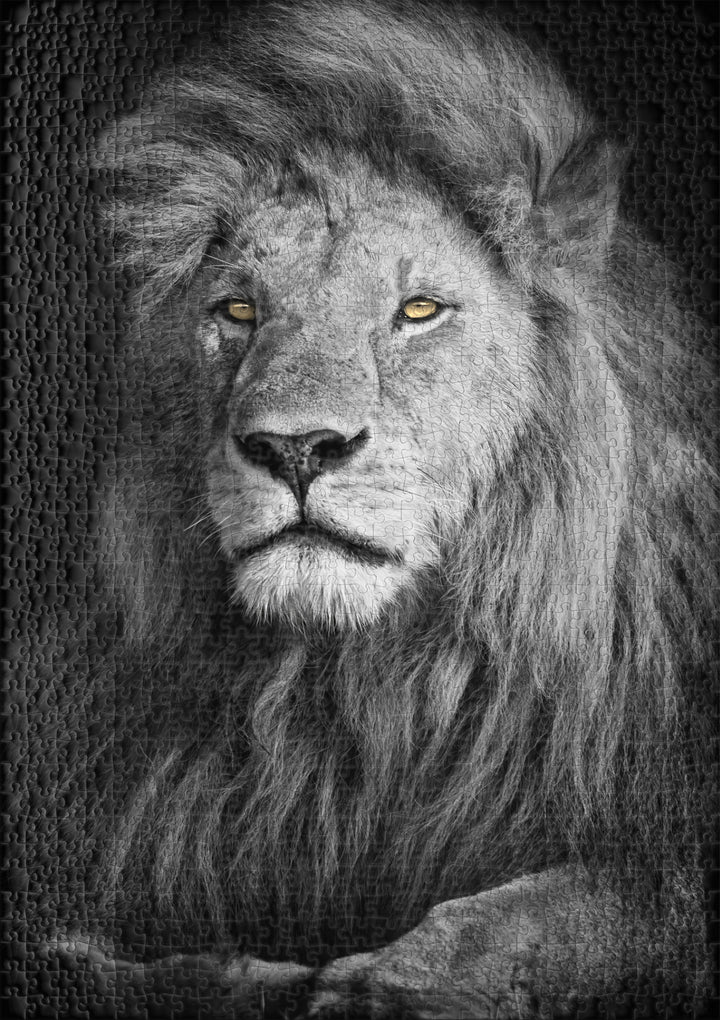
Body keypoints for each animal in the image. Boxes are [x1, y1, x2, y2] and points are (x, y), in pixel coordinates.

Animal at [20, 0, 718, 1017]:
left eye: (418, 310)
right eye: (238, 310)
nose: (296, 448)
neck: (358, 695)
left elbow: (582, 912)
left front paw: (386, 986)